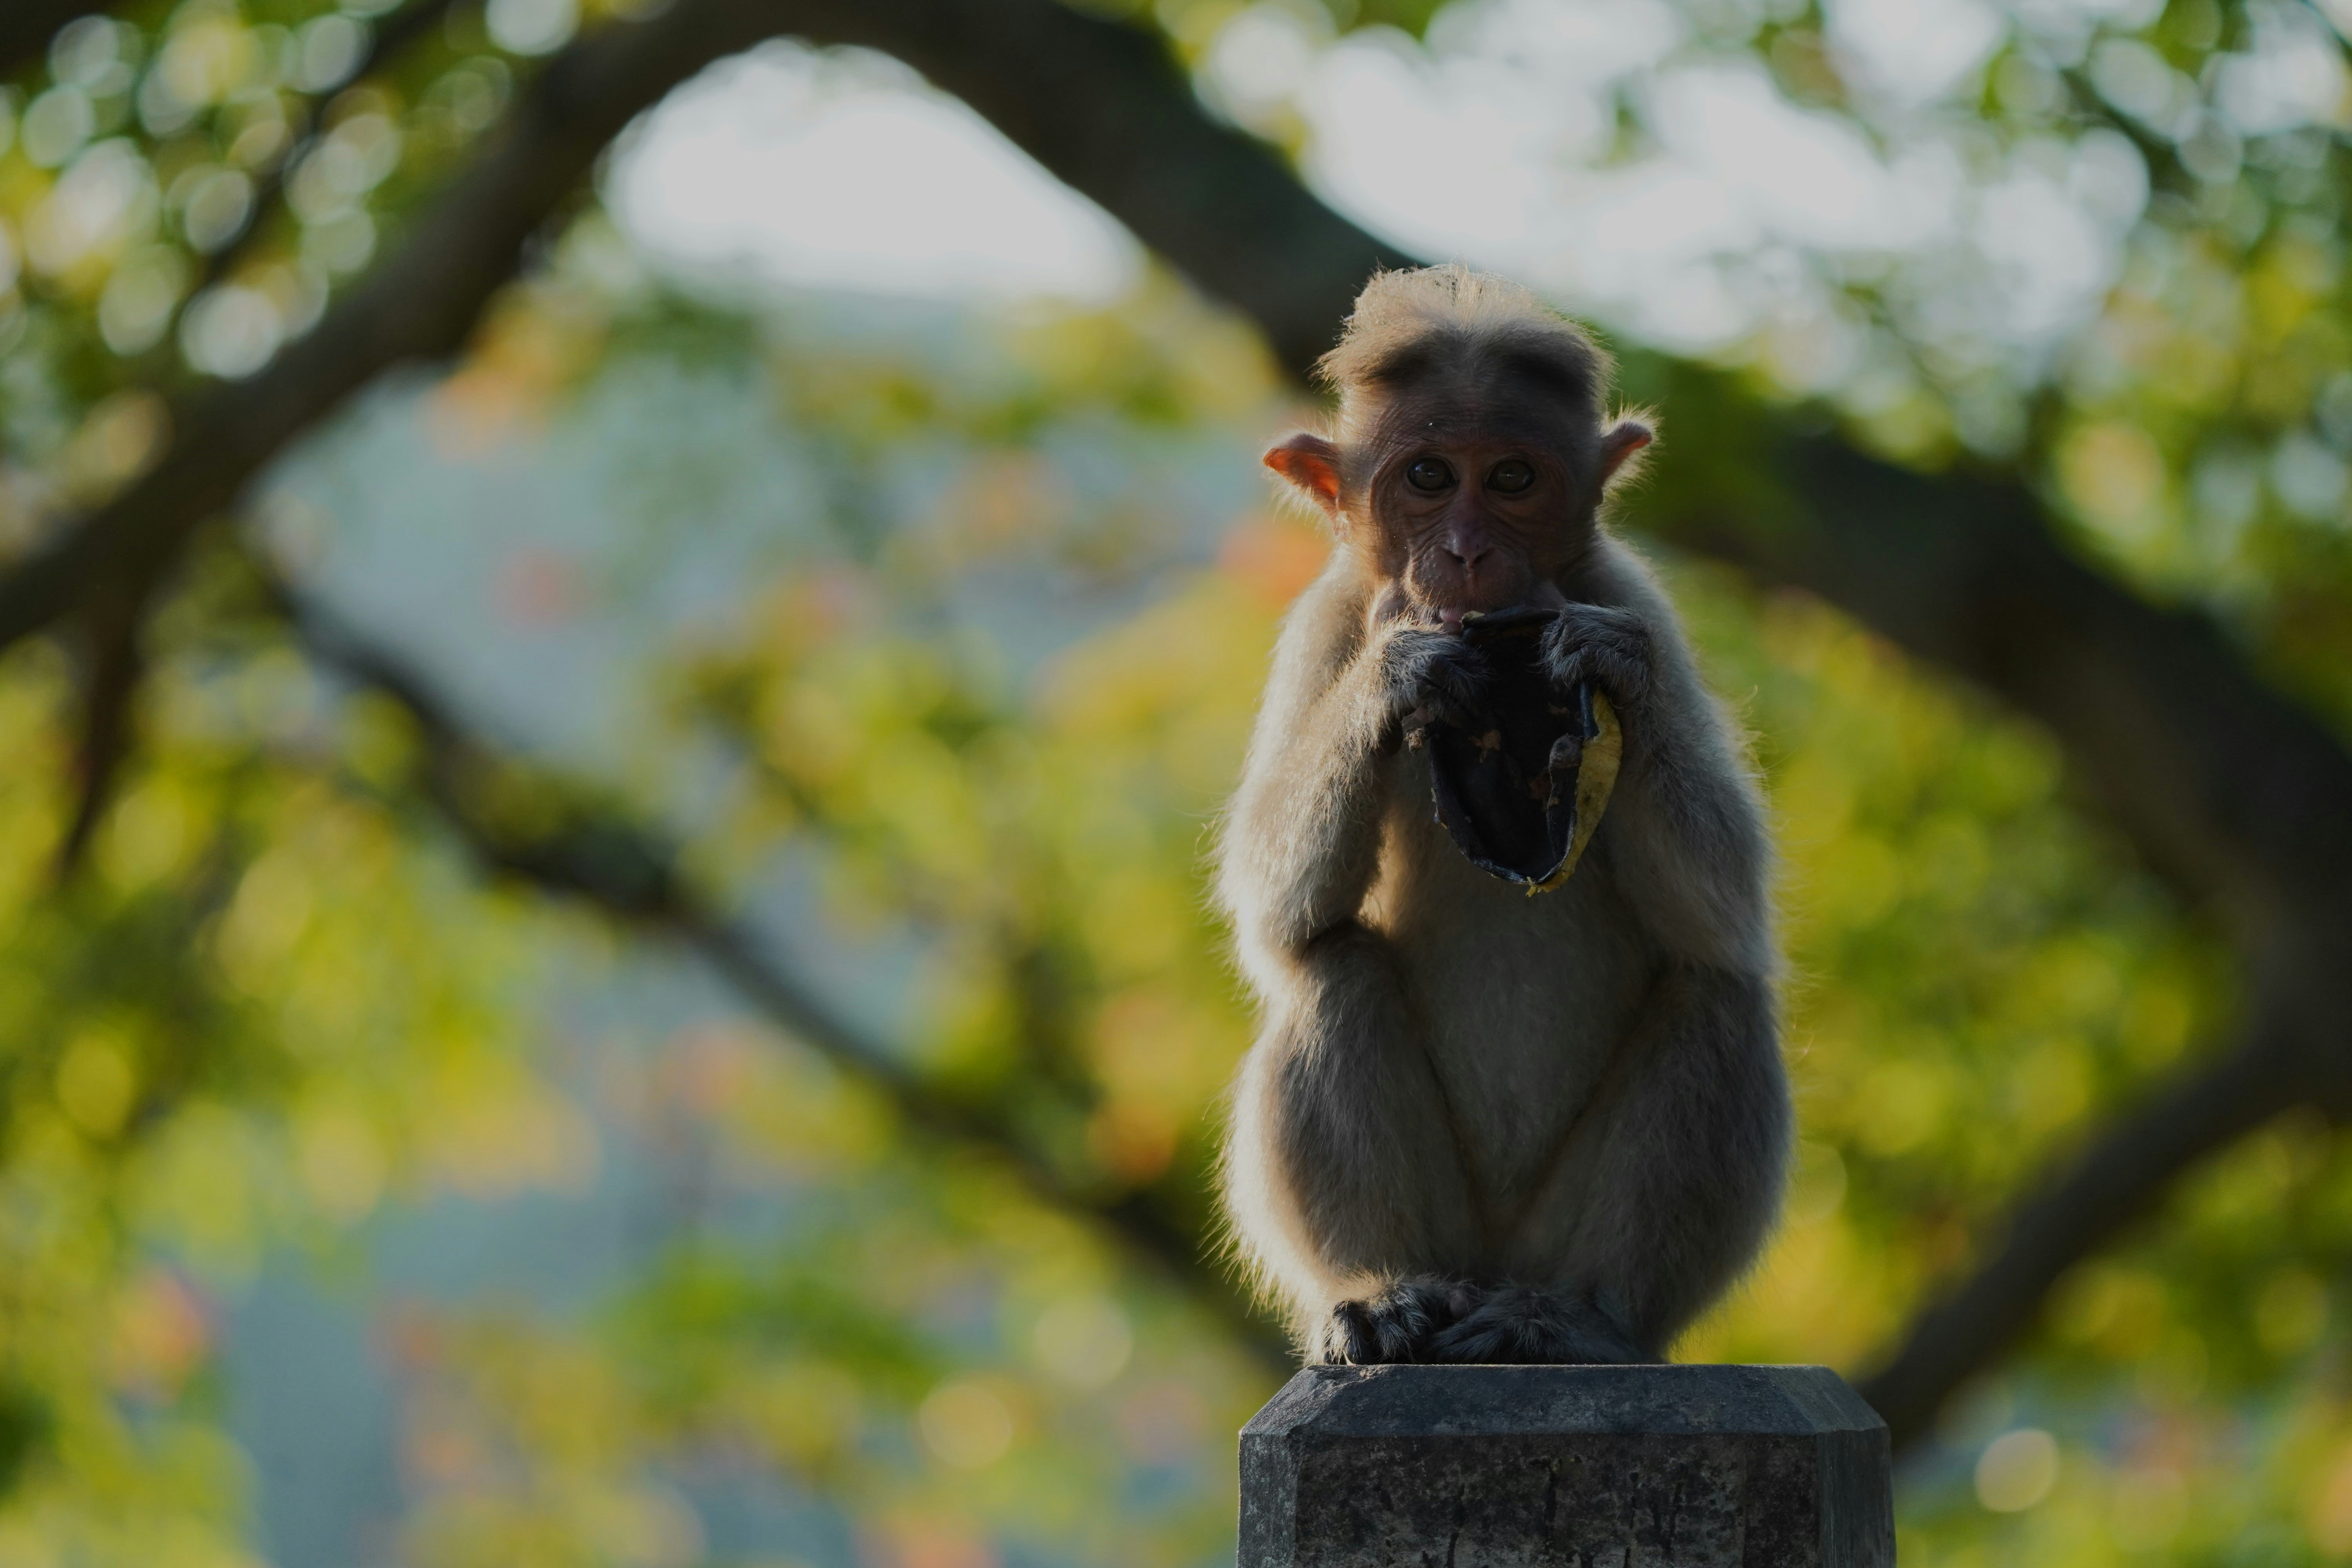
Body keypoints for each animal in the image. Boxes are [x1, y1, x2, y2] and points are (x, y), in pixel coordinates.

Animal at [1214, 265, 1788, 1367]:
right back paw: (1381, 1292)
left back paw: (1581, 1317)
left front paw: (1611, 668)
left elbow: (1729, 904)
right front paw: (1397, 675)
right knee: (1329, 970)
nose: (1469, 552)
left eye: (1513, 479)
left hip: (1549, 1239)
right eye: (1431, 477)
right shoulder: (1328, 619)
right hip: (1456, 1232)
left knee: (1720, 990)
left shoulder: (1628, 592)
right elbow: (1273, 908)